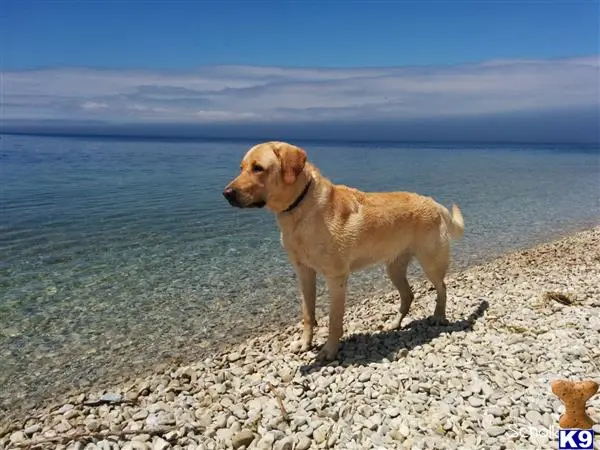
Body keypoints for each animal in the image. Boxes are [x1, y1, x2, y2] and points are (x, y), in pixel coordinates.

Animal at [224, 142, 464, 360]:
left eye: (258, 168)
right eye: (241, 167)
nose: (226, 193)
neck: (300, 207)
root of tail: (433, 202)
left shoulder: (336, 278)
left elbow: (334, 321)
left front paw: (329, 351)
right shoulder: (304, 273)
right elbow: (308, 314)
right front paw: (305, 343)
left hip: (430, 262)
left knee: (442, 288)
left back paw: (439, 316)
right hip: (394, 268)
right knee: (408, 295)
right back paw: (395, 323)